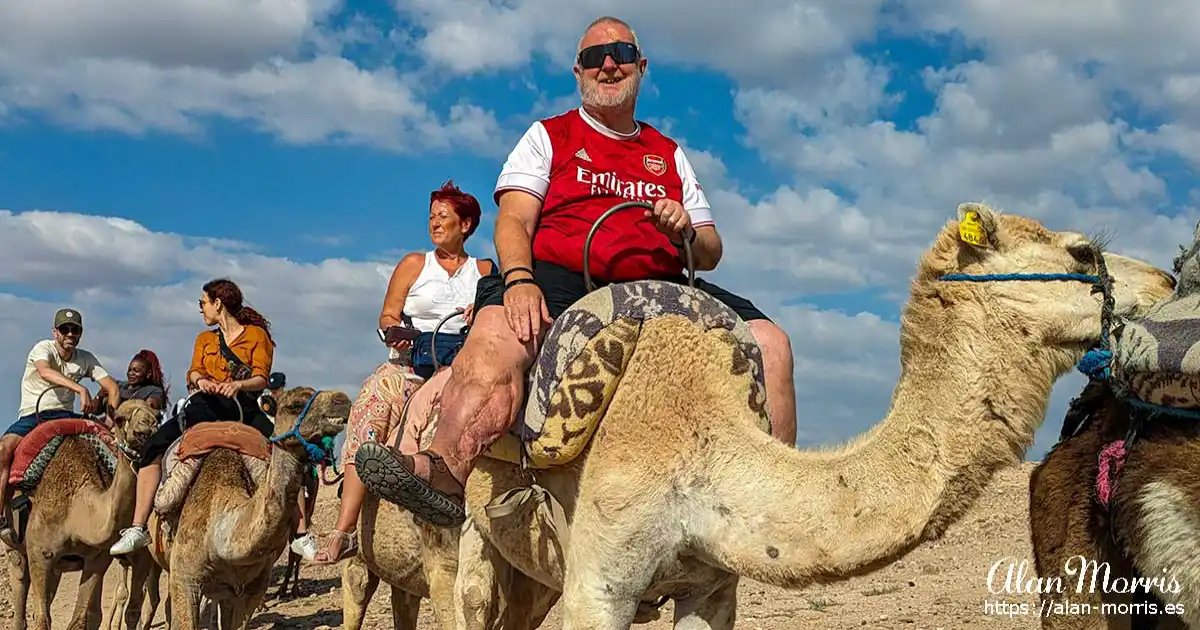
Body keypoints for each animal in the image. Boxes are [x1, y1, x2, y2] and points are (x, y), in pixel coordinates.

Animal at [0, 398, 159, 628]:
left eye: (157, 414)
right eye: (119, 418)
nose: (148, 426)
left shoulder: (97, 558)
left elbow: (81, 618)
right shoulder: (40, 553)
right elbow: (42, 619)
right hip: (15, 547)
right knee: (20, 582)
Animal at [350, 200, 1176, 624]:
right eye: (1082, 252)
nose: (1170, 279)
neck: (705, 442)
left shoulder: (712, 585)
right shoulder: (600, 583)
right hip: (464, 538)